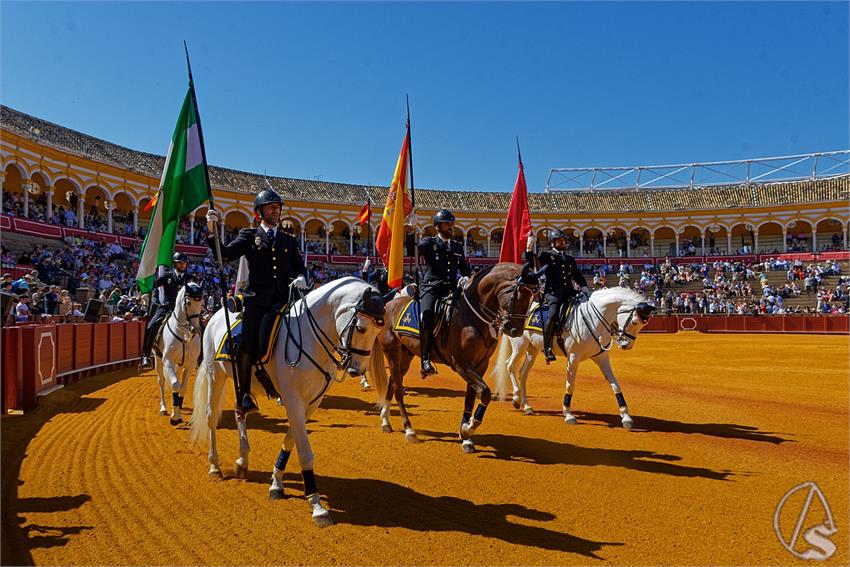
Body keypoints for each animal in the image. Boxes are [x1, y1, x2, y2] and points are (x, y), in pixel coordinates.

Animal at [154, 284, 204, 426]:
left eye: (201, 303)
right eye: (188, 302)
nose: (195, 329)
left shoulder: (190, 364)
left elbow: (182, 388)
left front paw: (177, 413)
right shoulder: (167, 360)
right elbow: (175, 384)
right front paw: (174, 418)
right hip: (157, 359)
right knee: (161, 381)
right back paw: (163, 408)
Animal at [190, 278, 388, 532]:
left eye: (379, 330)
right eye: (362, 328)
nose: (357, 370)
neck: (309, 336)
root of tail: (215, 315)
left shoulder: (311, 402)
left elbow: (291, 439)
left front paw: (276, 483)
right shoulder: (293, 399)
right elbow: (304, 451)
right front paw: (317, 505)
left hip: (241, 383)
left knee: (239, 411)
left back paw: (242, 461)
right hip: (215, 375)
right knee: (211, 417)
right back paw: (215, 466)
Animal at [364, 264, 536, 454]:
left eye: (532, 297)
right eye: (517, 295)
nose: (516, 331)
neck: (472, 316)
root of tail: (387, 306)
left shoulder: (480, 365)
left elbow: (470, 397)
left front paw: (465, 435)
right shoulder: (461, 363)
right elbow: (484, 392)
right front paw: (469, 428)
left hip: (405, 355)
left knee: (392, 383)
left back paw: (385, 421)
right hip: (392, 352)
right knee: (398, 391)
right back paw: (409, 430)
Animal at [486, 288, 652, 430]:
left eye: (643, 325)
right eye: (634, 322)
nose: (626, 345)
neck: (593, 318)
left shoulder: (601, 357)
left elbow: (615, 385)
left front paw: (626, 417)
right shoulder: (573, 356)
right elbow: (570, 385)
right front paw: (568, 414)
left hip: (532, 350)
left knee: (523, 373)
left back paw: (527, 406)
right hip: (519, 345)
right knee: (509, 365)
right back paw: (516, 398)